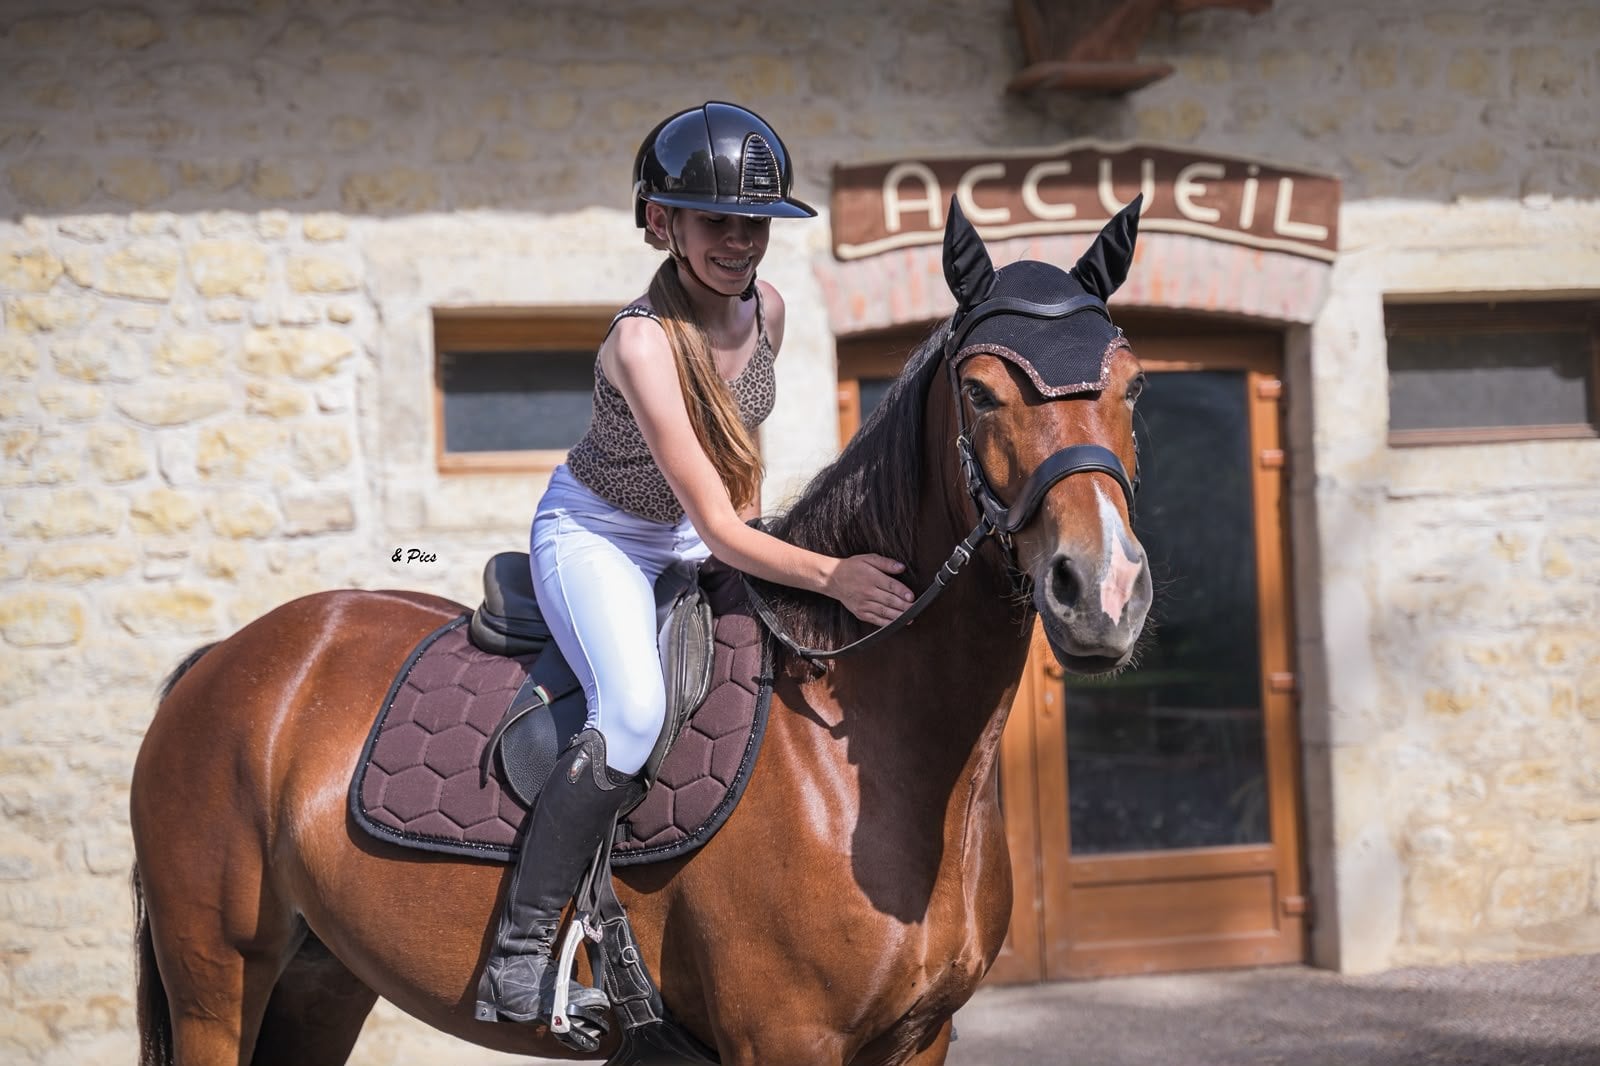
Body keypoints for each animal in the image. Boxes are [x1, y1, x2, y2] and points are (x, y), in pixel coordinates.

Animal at [129, 199, 1153, 1066]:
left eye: (1135, 388)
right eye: (979, 393)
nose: (1101, 590)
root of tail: (225, 660)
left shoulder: (921, 1039)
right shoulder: (786, 1040)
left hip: (322, 978)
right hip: (218, 978)